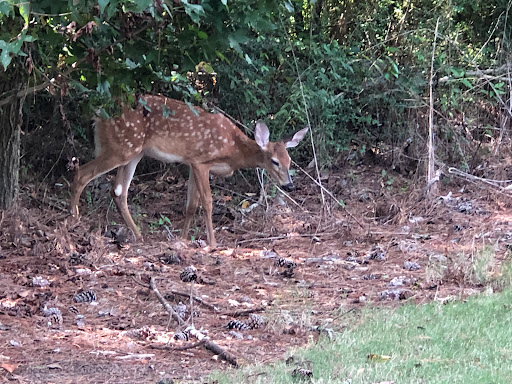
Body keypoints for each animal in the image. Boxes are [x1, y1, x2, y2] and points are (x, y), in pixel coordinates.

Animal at [69, 94, 306, 248]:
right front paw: (212, 243)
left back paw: (138, 235)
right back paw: (75, 221)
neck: (232, 150)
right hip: (122, 147)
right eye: (274, 162)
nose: (289, 185)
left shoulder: (191, 163)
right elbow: (207, 202)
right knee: (82, 173)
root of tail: (98, 114)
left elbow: (191, 205)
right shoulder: (201, 161)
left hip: (135, 151)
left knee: (118, 190)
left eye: (289, 161)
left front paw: (182, 239)